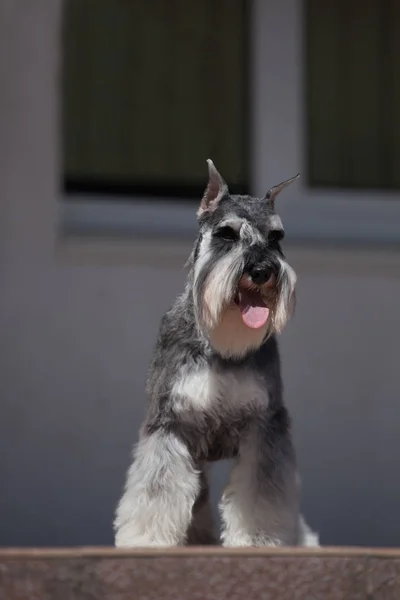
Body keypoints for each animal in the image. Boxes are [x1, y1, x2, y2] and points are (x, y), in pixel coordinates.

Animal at [113, 161, 318, 548]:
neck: (222, 342)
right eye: (227, 234)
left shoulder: (264, 426)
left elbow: (262, 491)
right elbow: (156, 486)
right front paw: (147, 539)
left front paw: (258, 538)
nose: (262, 271)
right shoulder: (168, 422)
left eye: (276, 237)